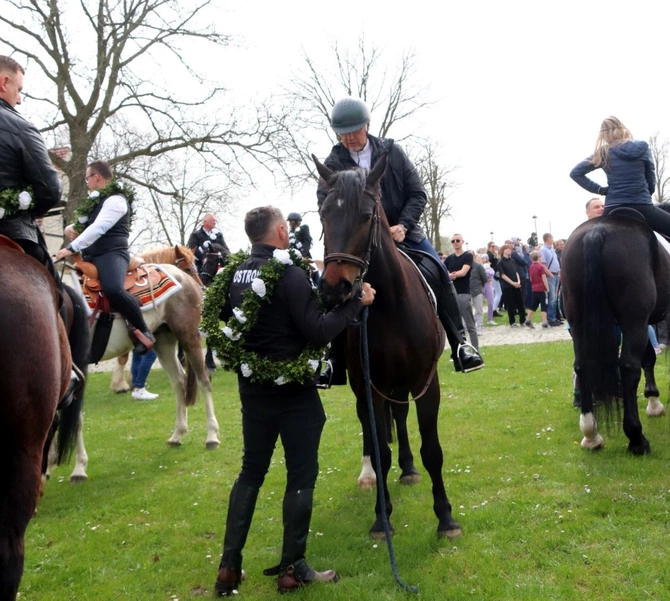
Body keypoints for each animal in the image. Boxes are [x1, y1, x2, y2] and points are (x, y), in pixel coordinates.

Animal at [314, 155, 462, 540]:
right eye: (323, 214)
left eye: (367, 215)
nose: (335, 289)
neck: (391, 305)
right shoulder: (370, 385)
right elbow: (380, 447)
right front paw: (382, 519)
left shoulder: (426, 382)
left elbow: (432, 450)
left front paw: (446, 518)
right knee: (371, 429)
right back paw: (370, 475)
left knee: (400, 416)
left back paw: (408, 468)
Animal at [560, 209, 670, 452]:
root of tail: (597, 231)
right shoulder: (642, 321)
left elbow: (649, 357)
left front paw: (654, 402)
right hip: (634, 319)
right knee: (629, 366)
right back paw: (637, 439)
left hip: (581, 320)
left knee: (582, 366)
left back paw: (591, 434)